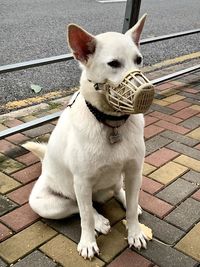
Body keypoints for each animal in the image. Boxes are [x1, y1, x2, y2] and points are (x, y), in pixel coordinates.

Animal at [23, 14, 148, 260]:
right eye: (114, 64)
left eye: (138, 60)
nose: (146, 92)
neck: (111, 124)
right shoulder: (82, 181)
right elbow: (85, 217)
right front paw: (88, 242)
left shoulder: (134, 170)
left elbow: (130, 209)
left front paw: (135, 232)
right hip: (47, 203)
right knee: (81, 207)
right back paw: (99, 221)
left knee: (118, 192)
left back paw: (127, 201)